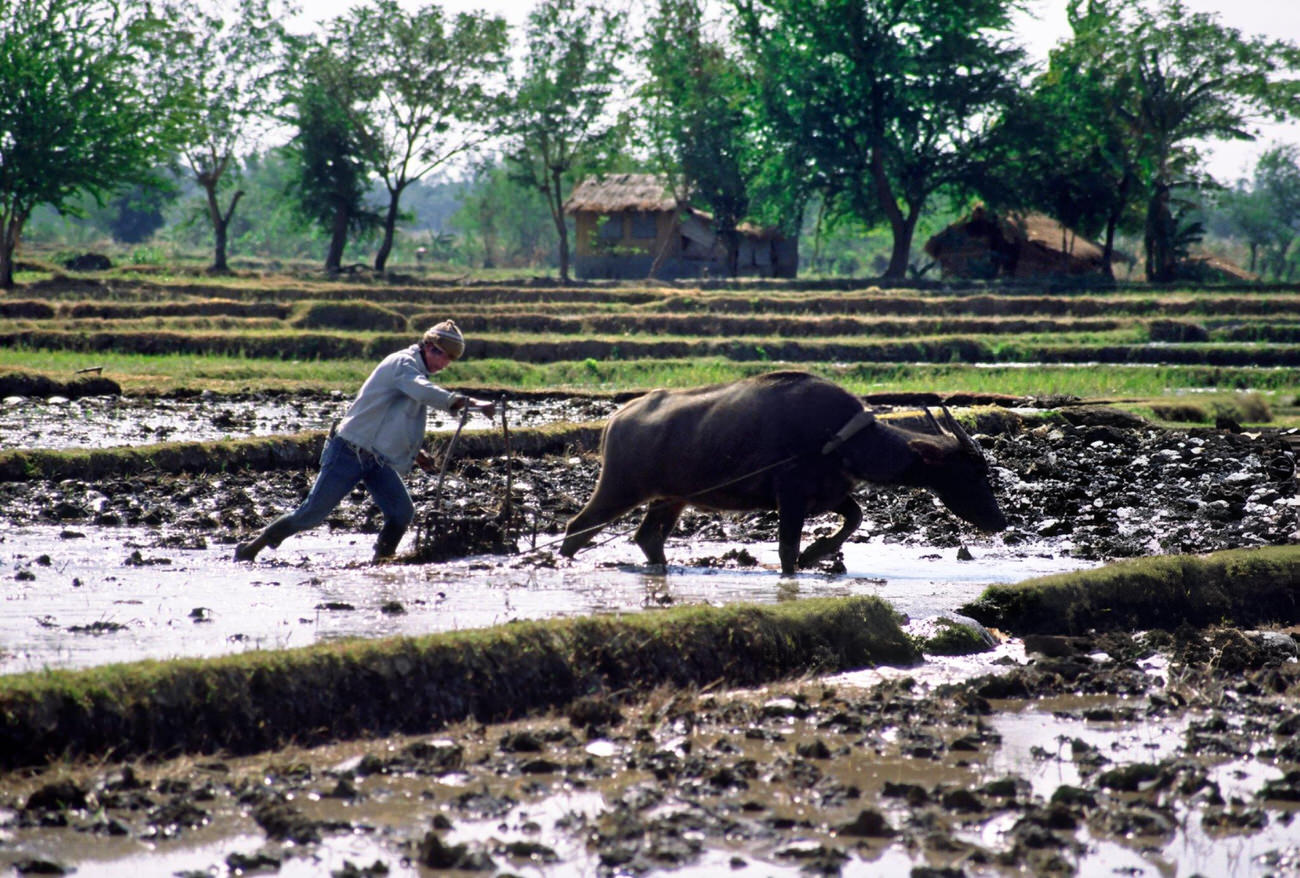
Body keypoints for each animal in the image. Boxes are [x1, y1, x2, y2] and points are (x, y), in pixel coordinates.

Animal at [559, 372, 1003, 577]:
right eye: (973, 472)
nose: (999, 522)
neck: (839, 437)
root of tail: (615, 420)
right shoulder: (790, 498)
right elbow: (787, 550)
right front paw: (805, 558)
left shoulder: (829, 493)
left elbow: (855, 517)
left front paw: (818, 551)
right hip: (619, 488)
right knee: (578, 527)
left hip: (670, 499)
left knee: (648, 537)